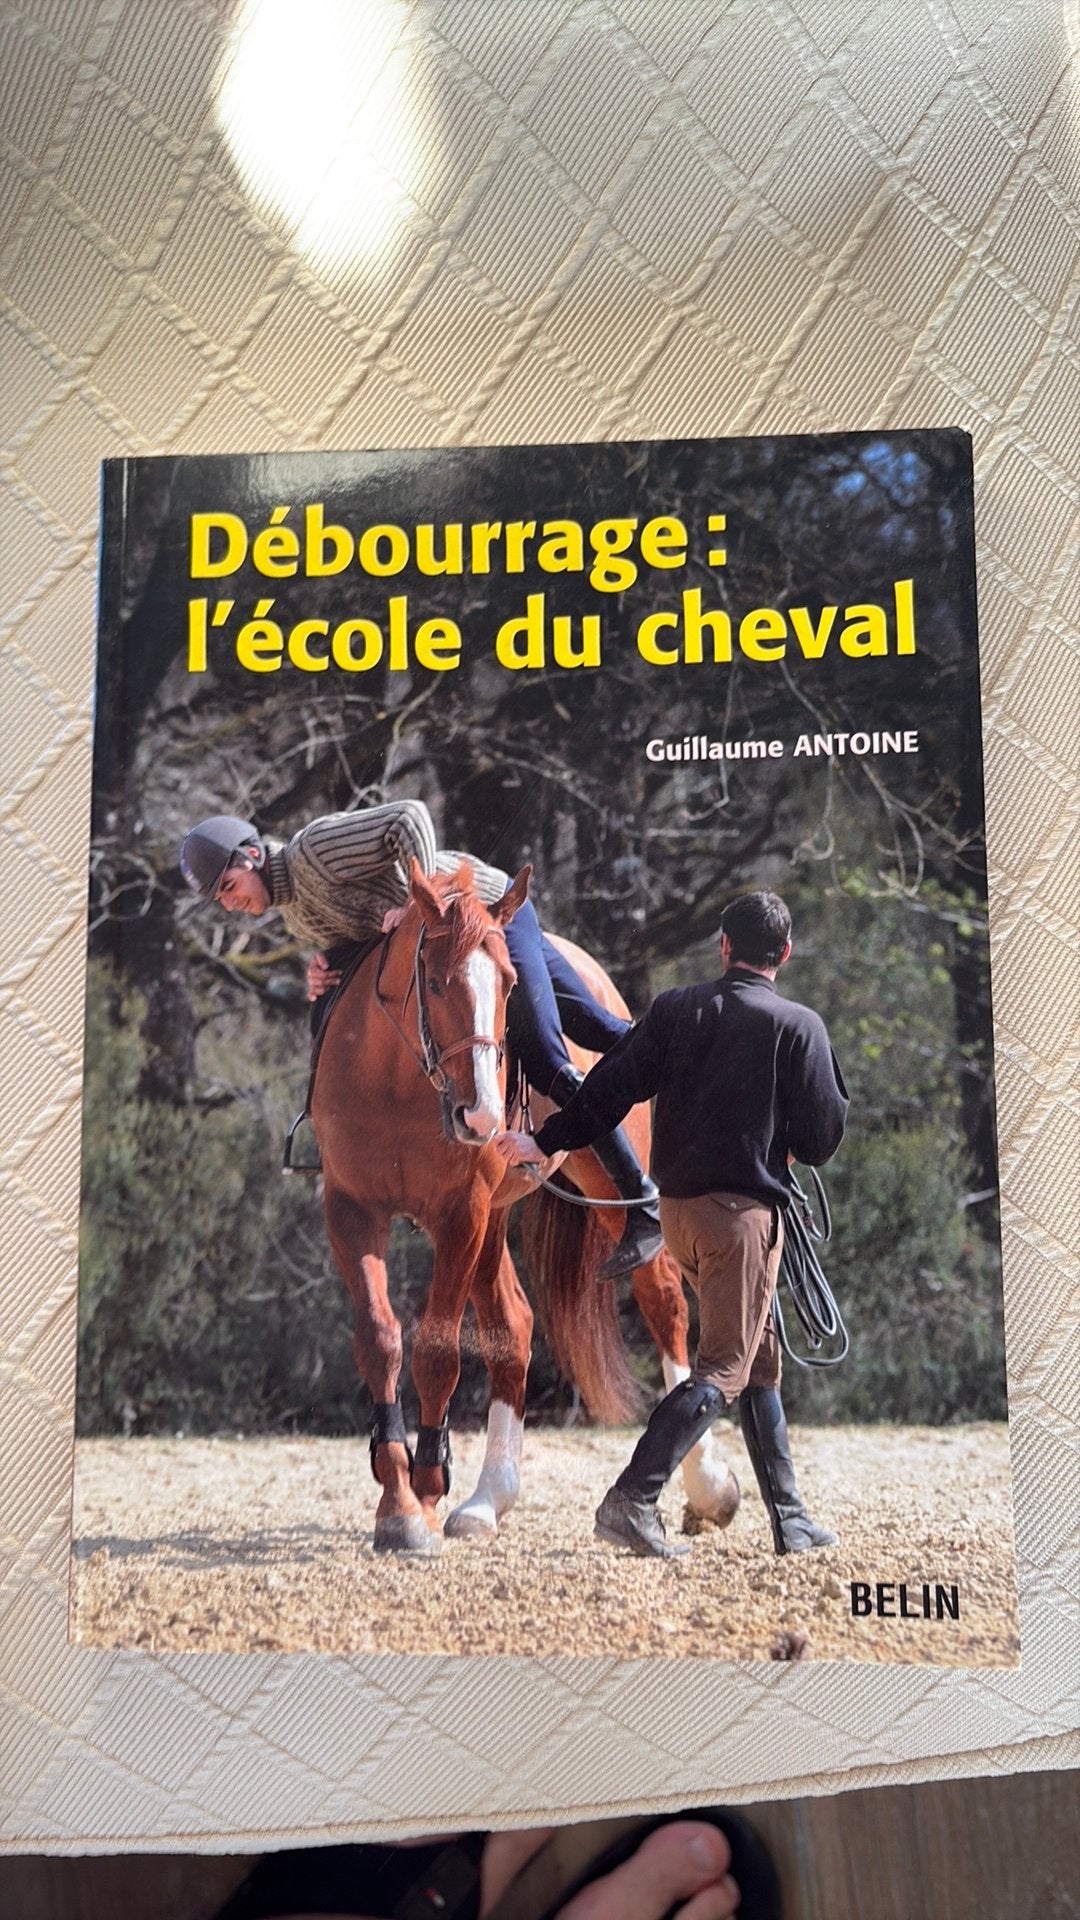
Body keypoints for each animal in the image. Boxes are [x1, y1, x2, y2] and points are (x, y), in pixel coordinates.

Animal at [311, 859, 739, 1554]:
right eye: (434, 981)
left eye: (510, 984)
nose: (481, 1114)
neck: (396, 1079)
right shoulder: (352, 1212)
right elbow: (381, 1340)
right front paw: (400, 1502)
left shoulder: (460, 1214)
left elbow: (437, 1349)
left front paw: (425, 1486)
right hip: (495, 1218)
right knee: (513, 1329)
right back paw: (488, 1500)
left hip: (592, 1192)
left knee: (665, 1302)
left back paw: (707, 1485)